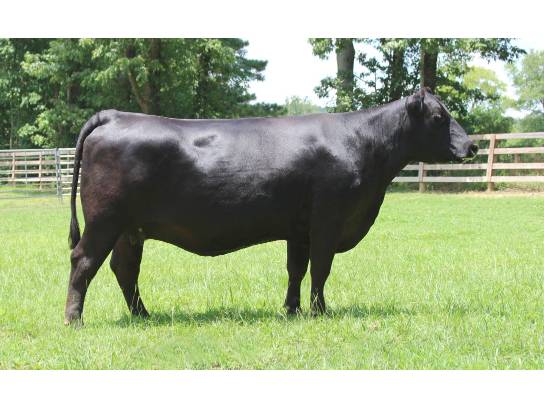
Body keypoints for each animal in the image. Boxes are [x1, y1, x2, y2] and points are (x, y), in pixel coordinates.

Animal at [64, 87, 478, 325]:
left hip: (128, 229)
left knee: (124, 269)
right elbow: (321, 269)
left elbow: (296, 269)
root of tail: (115, 115)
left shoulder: (299, 228)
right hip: (104, 220)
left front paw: (292, 310)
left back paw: (144, 315)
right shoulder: (327, 221)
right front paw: (320, 312)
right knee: (84, 262)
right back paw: (74, 320)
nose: (472, 146)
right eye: (439, 117)